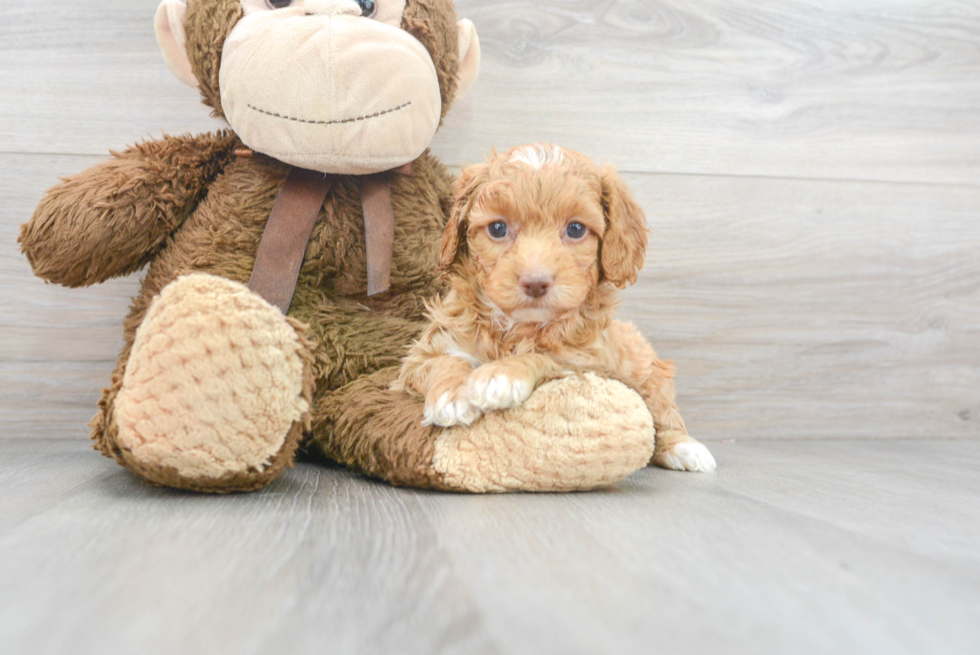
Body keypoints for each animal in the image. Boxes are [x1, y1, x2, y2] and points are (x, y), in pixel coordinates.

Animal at [394, 145, 716, 472]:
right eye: (497, 228)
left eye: (575, 229)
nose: (536, 282)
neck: (516, 327)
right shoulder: (424, 353)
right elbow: (443, 361)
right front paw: (452, 394)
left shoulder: (587, 360)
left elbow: (545, 357)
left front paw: (502, 375)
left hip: (649, 369)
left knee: (663, 414)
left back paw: (685, 448)